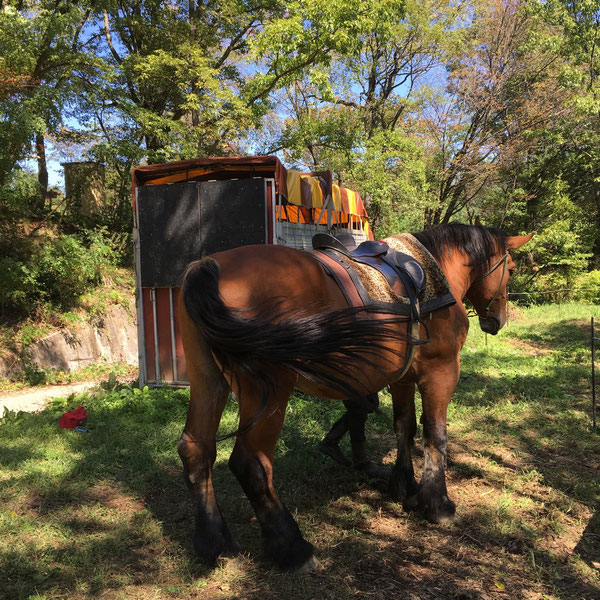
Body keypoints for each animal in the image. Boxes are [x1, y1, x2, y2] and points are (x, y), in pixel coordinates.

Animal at [177, 223, 528, 568]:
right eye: (510, 269)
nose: (498, 319)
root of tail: (208, 266)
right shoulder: (441, 372)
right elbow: (435, 435)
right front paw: (437, 503)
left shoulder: (401, 378)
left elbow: (404, 428)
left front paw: (404, 485)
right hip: (269, 391)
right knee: (251, 462)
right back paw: (290, 547)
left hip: (208, 380)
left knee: (196, 450)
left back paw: (213, 542)